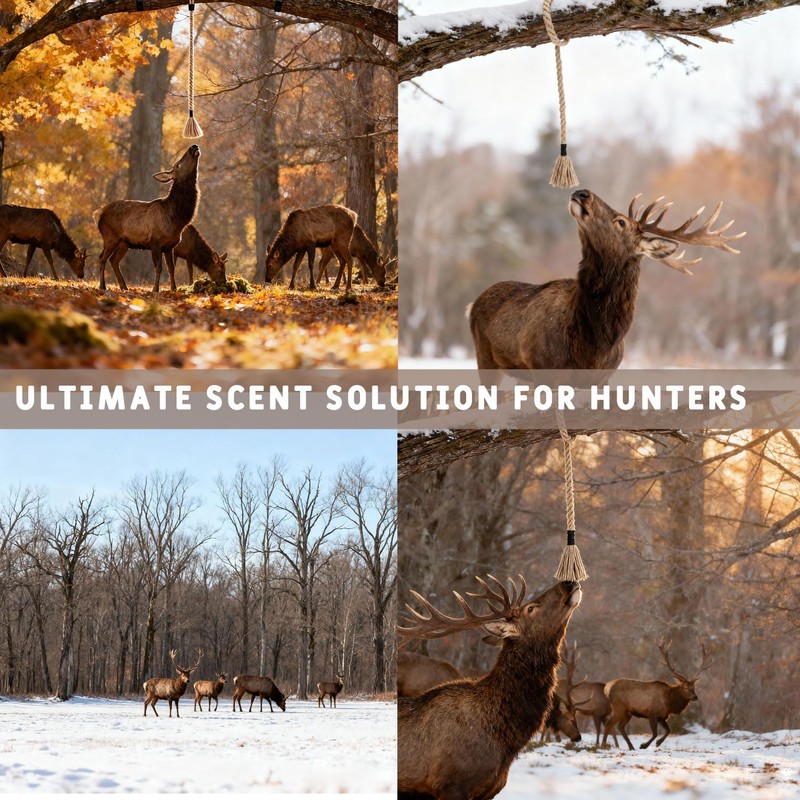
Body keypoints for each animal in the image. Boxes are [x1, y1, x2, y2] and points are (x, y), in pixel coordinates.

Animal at [94, 144, 201, 293]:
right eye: (178, 164)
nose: (193, 146)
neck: (176, 220)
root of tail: (99, 214)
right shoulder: (154, 241)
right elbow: (159, 268)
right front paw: (155, 289)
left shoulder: (170, 246)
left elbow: (171, 268)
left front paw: (174, 289)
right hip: (110, 236)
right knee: (102, 258)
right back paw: (102, 286)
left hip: (124, 243)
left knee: (113, 260)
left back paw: (124, 286)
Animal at [468, 190, 746, 370]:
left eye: (620, 222)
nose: (582, 192)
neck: (595, 342)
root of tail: (472, 304)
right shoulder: (542, 365)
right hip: (485, 356)